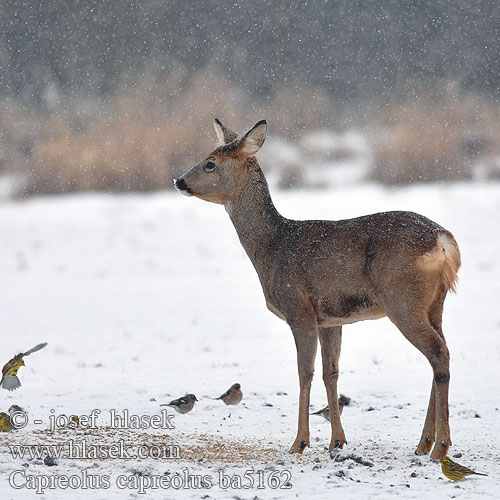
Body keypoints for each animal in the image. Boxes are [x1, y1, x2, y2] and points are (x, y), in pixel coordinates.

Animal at [176, 119, 460, 458]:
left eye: (211, 163)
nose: (178, 180)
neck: (271, 247)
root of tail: (442, 240)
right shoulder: (331, 319)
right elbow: (330, 372)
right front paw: (336, 440)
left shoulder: (299, 309)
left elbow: (305, 372)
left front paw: (299, 442)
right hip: (435, 302)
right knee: (441, 352)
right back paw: (423, 443)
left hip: (403, 300)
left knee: (438, 353)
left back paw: (440, 446)